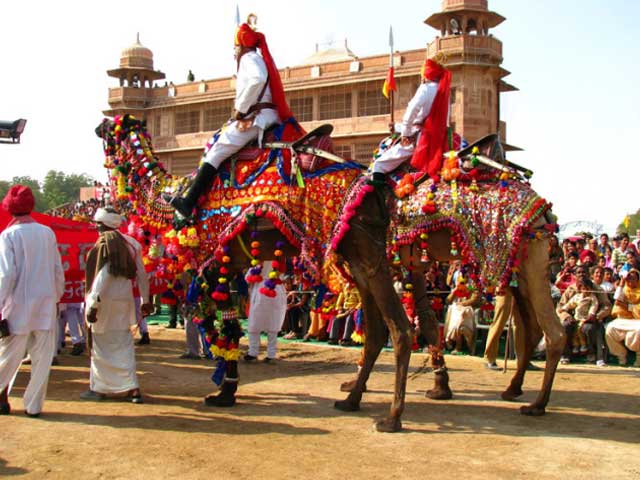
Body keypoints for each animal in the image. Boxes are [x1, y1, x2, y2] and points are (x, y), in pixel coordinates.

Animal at [95, 115, 564, 432]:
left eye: (109, 128)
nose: (100, 126)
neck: (174, 195)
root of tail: (542, 208)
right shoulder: (404, 262)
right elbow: (425, 323)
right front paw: (439, 388)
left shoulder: (220, 254)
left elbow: (220, 317)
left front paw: (224, 391)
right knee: (522, 328)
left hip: (513, 258)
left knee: (535, 331)